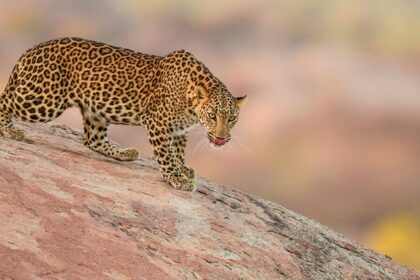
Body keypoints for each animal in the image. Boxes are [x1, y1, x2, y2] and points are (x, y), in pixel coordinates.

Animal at [0, 37, 246, 190]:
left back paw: (125, 152)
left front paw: (183, 169)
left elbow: (177, 151)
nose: (222, 138)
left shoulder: (178, 130)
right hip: (43, 100)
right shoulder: (158, 123)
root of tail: (29, 51)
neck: (190, 105)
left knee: (91, 140)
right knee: (4, 102)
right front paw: (176, 178)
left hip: (95, 111)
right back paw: (10, 131)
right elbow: (166, 155)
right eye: (213, 115)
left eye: (232, 118)